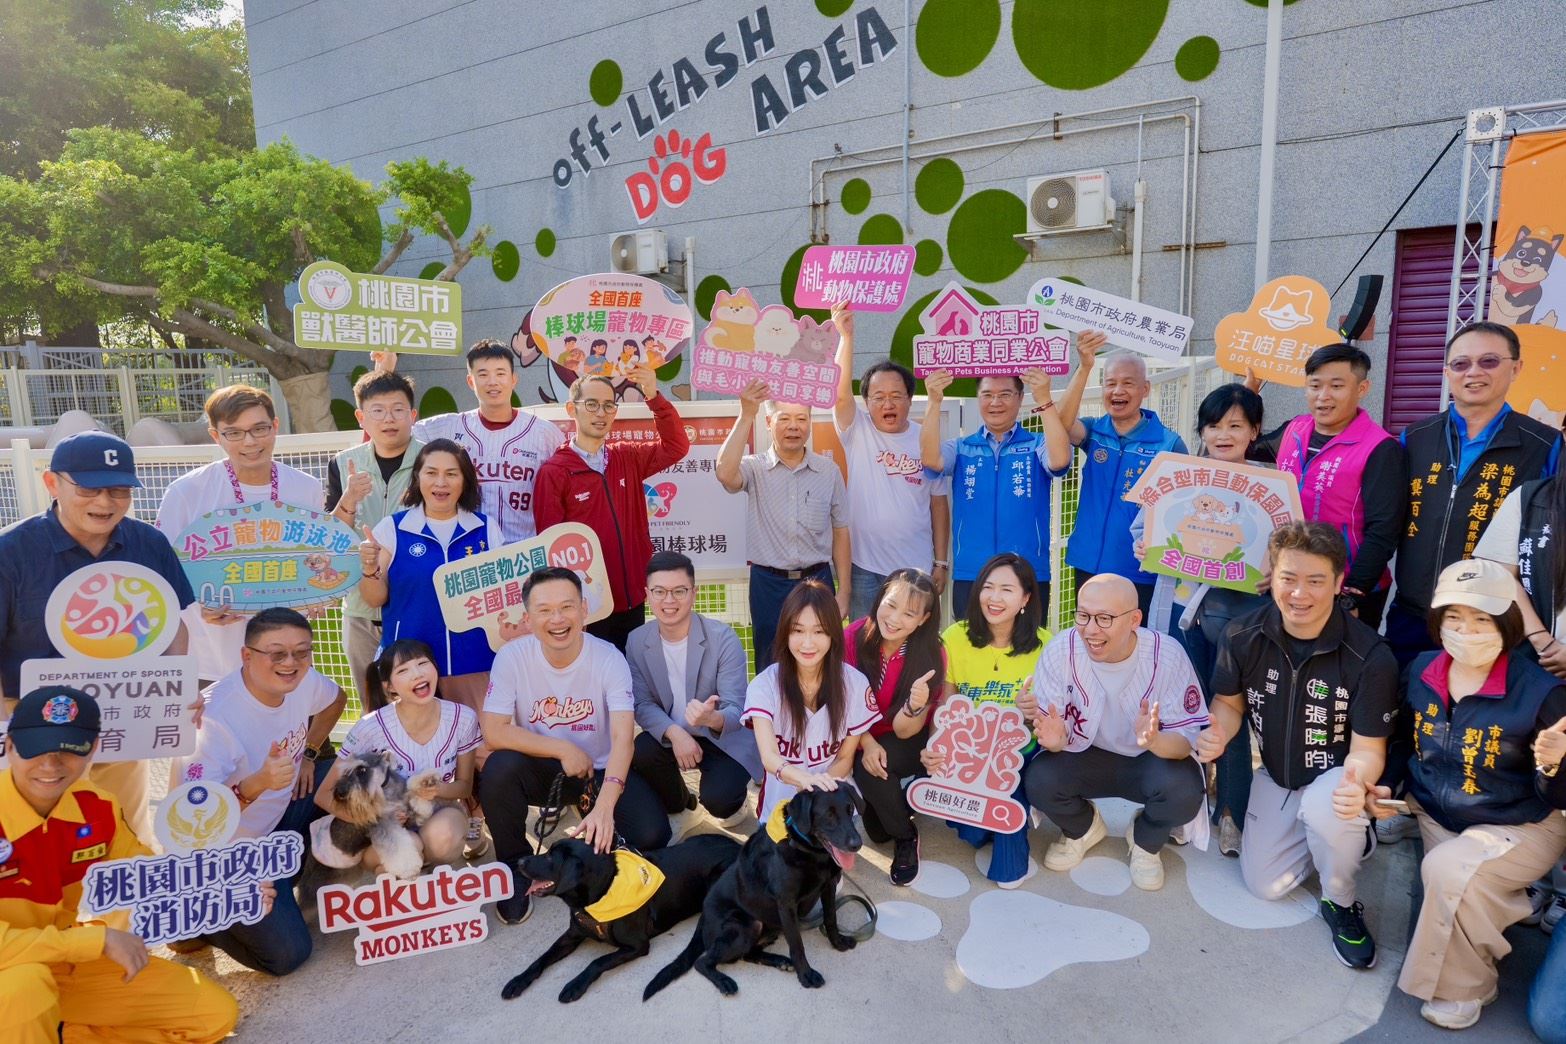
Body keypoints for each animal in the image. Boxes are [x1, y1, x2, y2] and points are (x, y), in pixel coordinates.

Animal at [311, 752, 438, 880]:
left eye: (362, 769)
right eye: (345, 772)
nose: (340, 792)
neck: (386, 791)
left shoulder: (407, 817)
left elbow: (419, 804)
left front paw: (427, 781)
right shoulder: (383, 824)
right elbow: (396, 845)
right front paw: (408, 869)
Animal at [500, 834, 742, 1003]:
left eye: (550, 856)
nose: (519, 862)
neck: (600, 895)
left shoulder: (637, 945)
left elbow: (597, 961)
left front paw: (575, 985)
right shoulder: (571, 936)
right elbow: (541, 958)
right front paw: (518, 980)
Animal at [643, 787, 864, 999]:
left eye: (850, 810)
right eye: (829, 815)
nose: (857, 844)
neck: (809, 852)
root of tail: (703, 917)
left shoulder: (828, 887)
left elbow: (831, 919)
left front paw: (838, 942)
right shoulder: (786, 904)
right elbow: (797, 944)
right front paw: (806, 975)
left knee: (748, 954)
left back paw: (780, 961)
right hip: (747, 925)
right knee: (703, 962)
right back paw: (725, 982)